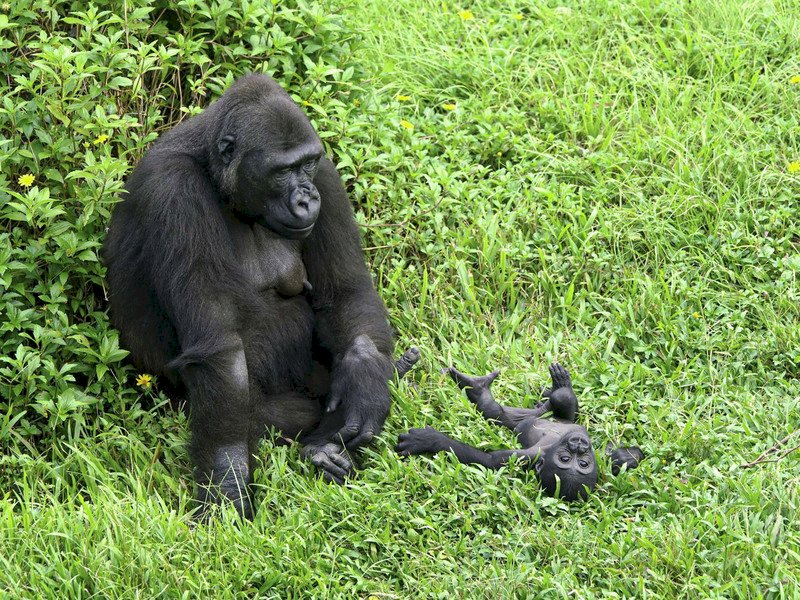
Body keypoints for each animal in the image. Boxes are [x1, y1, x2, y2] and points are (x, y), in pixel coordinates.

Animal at [103, 72, 396, 516]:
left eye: (307, 164)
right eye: (282, 171)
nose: (306, 198)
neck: (214, 173)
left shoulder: (326, 175)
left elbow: (345, 292)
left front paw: (365, 386)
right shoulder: (174, 191)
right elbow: (222, 351)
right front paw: (227, 479)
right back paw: (320, 445)